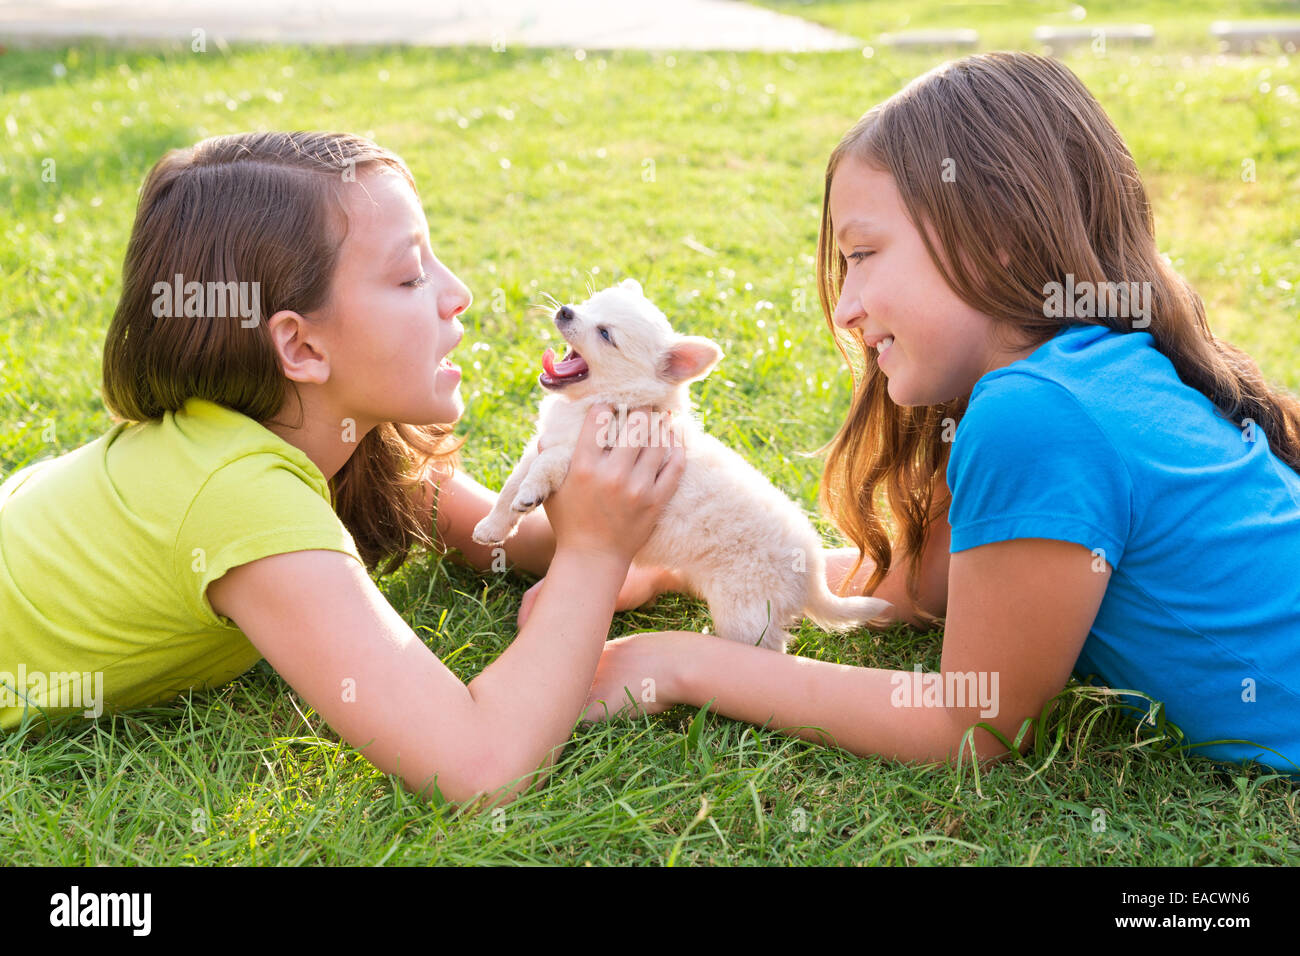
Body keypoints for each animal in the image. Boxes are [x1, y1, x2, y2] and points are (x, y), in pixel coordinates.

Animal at [470, 277, 894, 650]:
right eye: (589, 305)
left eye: (605, 334)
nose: (565, 310)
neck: (600, 405)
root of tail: (812, 576)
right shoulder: (539, 444)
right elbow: (510, 484)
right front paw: (493, 526)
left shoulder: (583, 453)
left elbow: (545, 467)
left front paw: (530, 493)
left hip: (744, 614)